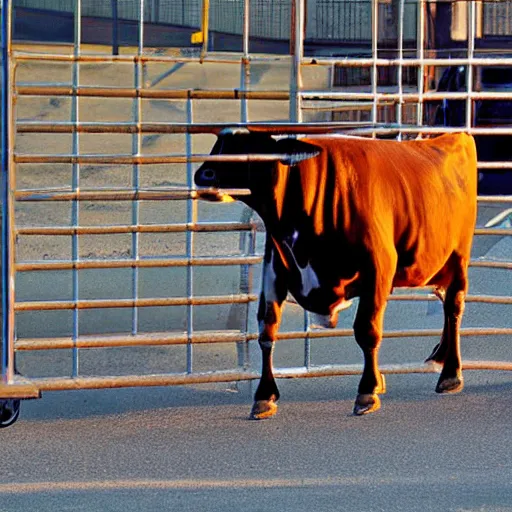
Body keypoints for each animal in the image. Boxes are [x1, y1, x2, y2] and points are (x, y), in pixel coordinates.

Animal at [194, 127, 478, 416]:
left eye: (251, 148)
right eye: (218, 144)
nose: (204, 174)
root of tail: (455, 135)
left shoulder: (378, 269)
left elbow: (367, 330)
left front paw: (367, 391)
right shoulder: (274, 269)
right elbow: (267, 328)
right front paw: (264, 396)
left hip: (458, 259)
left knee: (454, 308)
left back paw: (450, 373)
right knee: (444, 303)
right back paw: (439, 355)